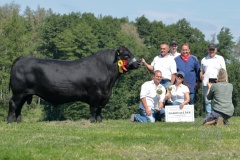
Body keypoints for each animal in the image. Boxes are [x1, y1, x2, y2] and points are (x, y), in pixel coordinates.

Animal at [7, 45, 141, 123]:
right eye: (126, 55)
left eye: (132, 53)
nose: (139, 63)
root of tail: (22, 58)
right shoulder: (95, 94)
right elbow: (93, 109)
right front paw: (92, 121)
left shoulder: (104, 96)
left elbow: (99, 110)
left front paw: (99, 121)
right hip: (19, 92)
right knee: (13, 104)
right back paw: (9, 121)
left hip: (24, 94)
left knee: (19, 107)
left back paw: (19, 122)